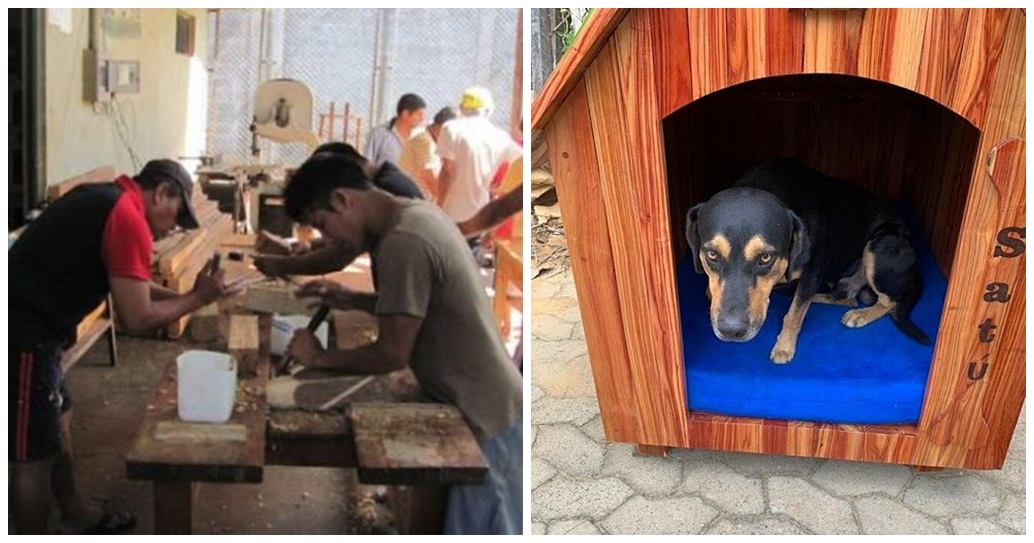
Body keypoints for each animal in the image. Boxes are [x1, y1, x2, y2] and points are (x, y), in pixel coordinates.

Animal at [686, 157, 930, 364]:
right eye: (712, 254)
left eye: (765, 257)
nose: (731, 331)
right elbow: (710, 291)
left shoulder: (814, 270)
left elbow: (795, 313)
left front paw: (784, 348)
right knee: (847, 297)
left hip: (879, 246)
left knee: (890, 302)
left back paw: (861, 314)